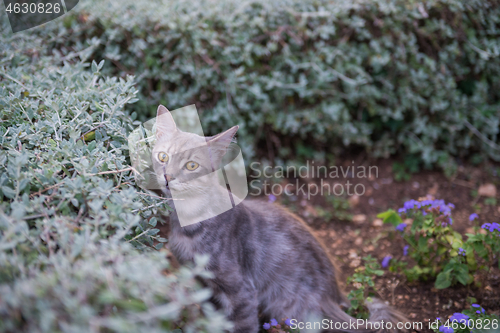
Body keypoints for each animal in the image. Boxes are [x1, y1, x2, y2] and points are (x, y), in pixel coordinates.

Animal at [154, 104, 408, 332]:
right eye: (163, 157)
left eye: (191, 165)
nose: (168, 177)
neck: (190, 222)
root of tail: (332, 296)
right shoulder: (202, 285)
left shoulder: (240, 291)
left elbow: (243, 326)